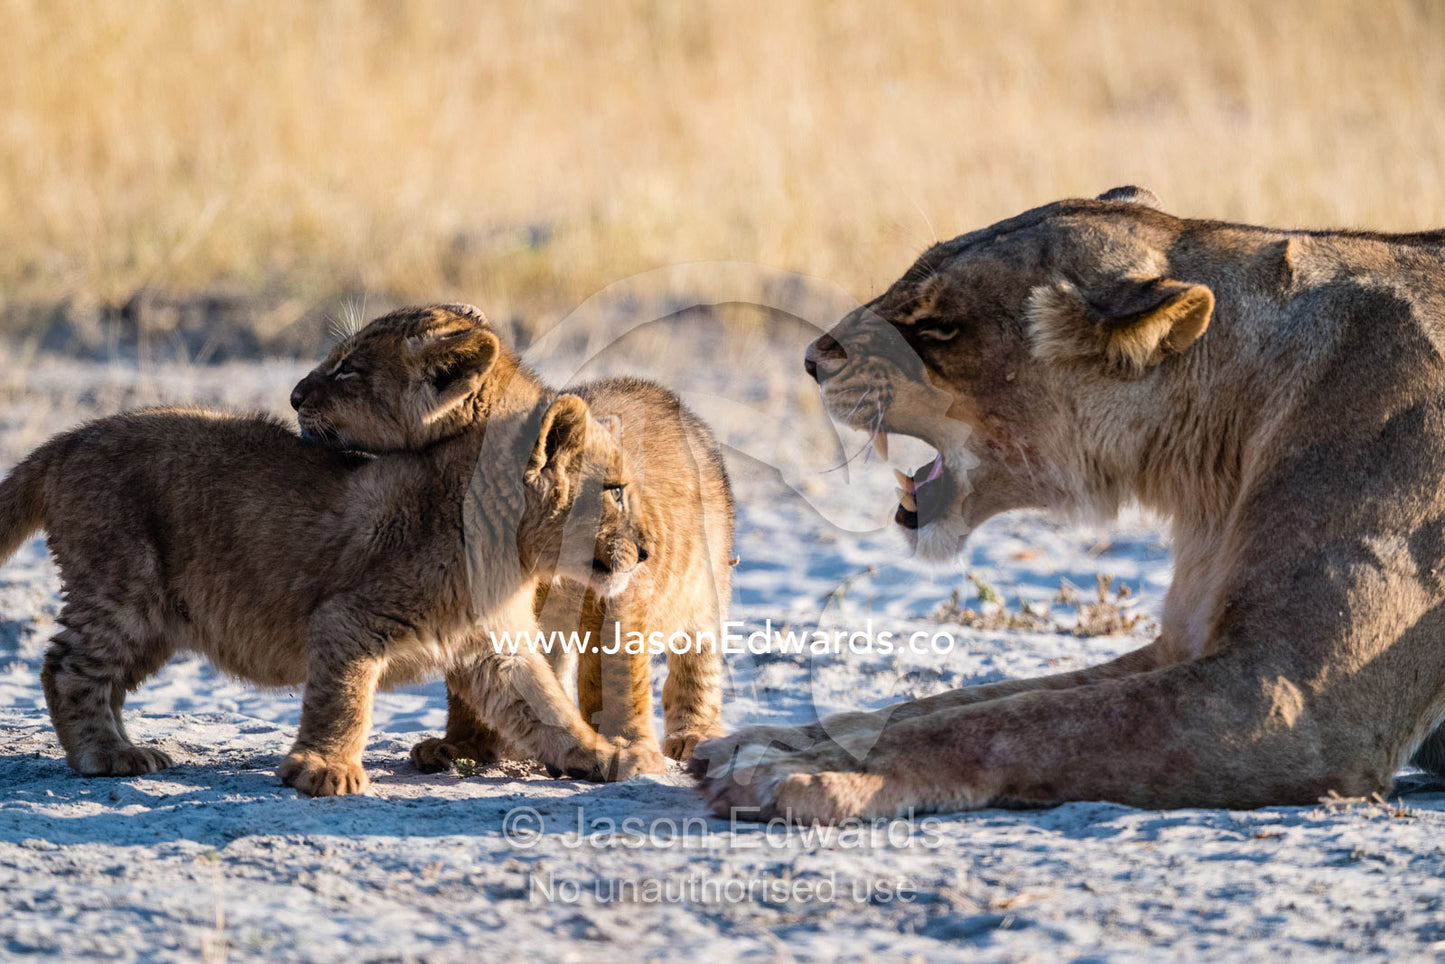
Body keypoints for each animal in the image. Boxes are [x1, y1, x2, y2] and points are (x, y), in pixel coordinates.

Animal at [0, 307, 664, 795]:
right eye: (615, 491)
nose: (645, 552)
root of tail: (67, 440)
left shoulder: (494, 643)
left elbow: (547, 706)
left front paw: (600, 755)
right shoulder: (348, 620)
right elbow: (342, 699)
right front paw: (324, 770)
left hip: (159, 617)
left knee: (103, 678)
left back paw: (126, 748)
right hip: (124, 588)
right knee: (67, 667)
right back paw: (105, 755)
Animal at [692, 186, 1445, 823]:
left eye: (938, 328)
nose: (809, 360)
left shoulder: (1291, 698)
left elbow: (1019, 723)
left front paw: (800, 774)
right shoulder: (1182, 641)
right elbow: (955, 701)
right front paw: (769, 741)